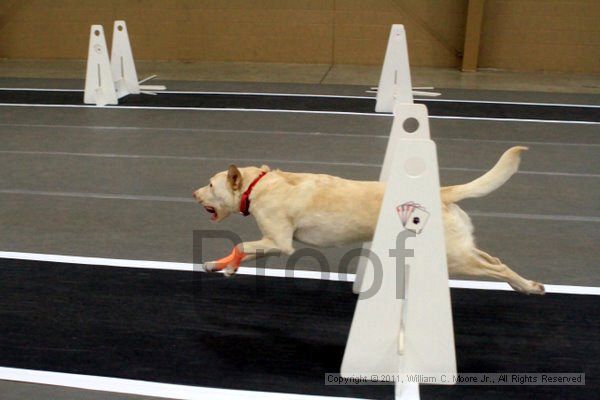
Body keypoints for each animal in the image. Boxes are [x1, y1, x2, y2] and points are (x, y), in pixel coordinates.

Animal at [195, 146, 548, 294]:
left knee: (497, 267)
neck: (258, 185)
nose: (194, 193)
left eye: (210, 185)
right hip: (462, 249)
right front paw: (219, 265)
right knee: (494, 259)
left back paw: (529, 288)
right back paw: (524, 284)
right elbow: (243, 251)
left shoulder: (279, 243)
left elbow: (242, 245)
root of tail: (441, 191)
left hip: (456, 258)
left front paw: (227, 266)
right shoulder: (270, 241)